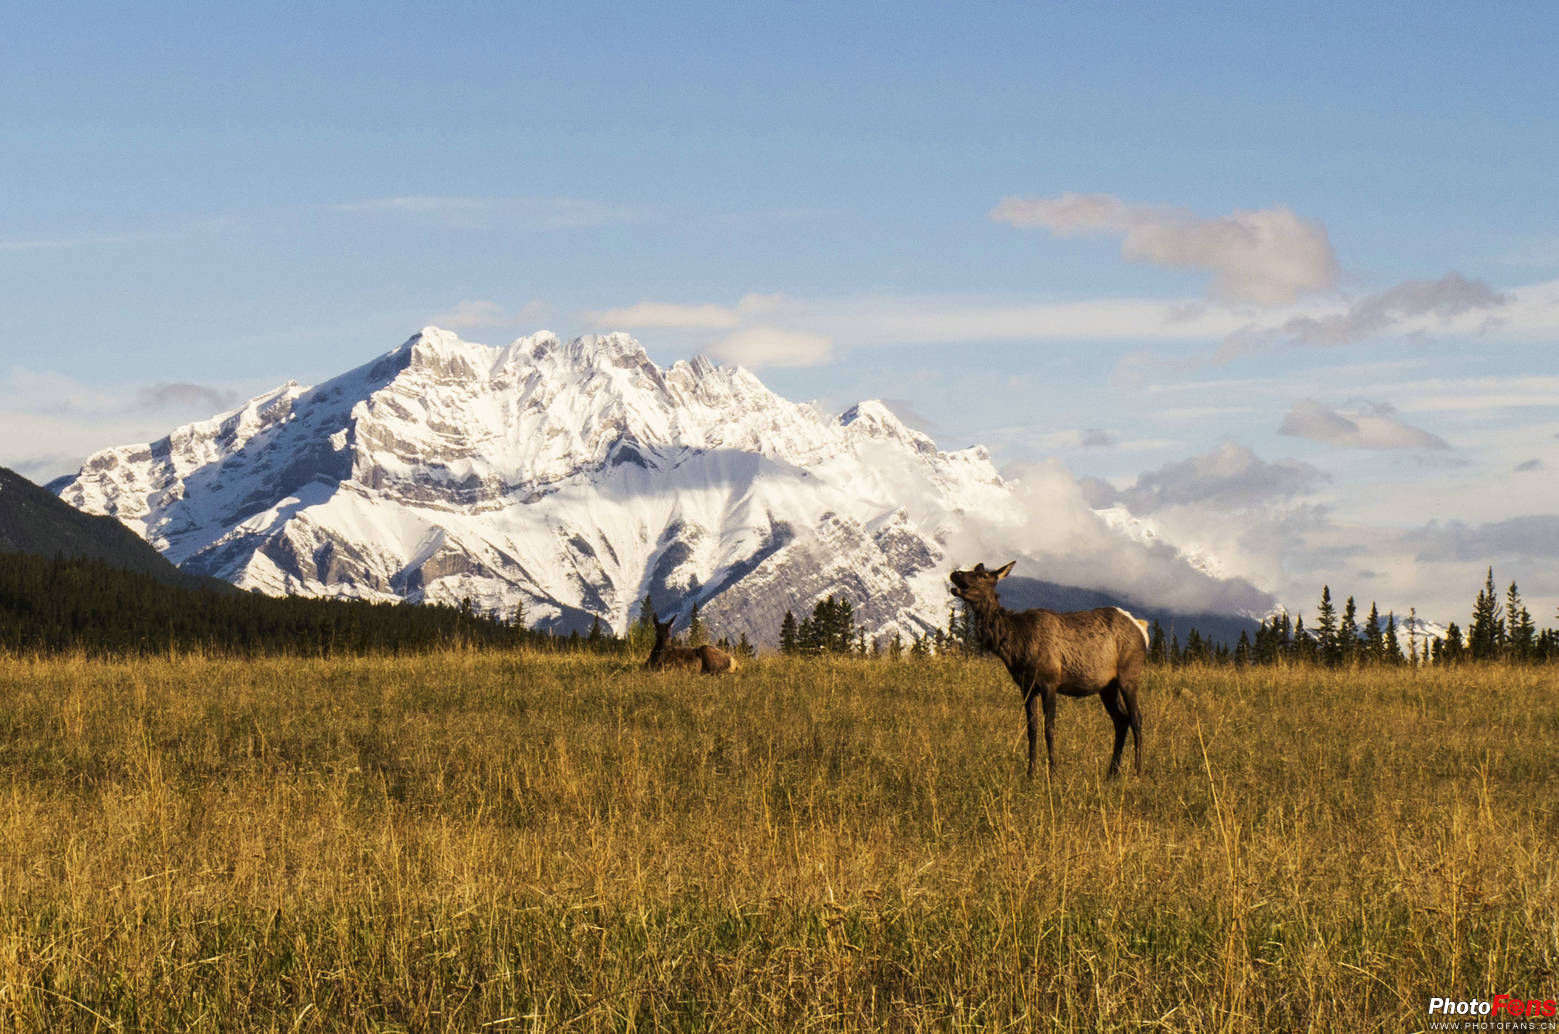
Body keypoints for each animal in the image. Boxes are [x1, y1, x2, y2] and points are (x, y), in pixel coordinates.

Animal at [941, 567, 1153, 776]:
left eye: (982, 575)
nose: (956, 573)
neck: (1016, 643)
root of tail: (1142, 628)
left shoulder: (1049, 682)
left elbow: (1049, 727)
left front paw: (1053, 772)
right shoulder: (1027, 686)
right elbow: (1031, 729)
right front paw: (1031, 773)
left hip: (1129, 675)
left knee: (1136, 718)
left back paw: (1138, 771)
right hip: (1107, 686)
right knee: (1121, 719)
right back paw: (1112, 772)